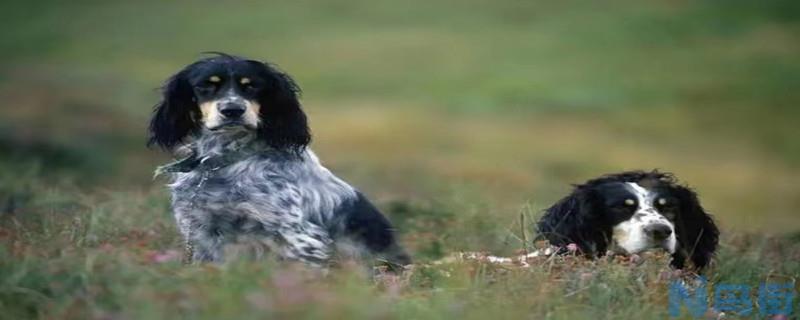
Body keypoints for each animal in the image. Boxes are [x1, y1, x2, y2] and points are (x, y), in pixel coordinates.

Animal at [148, 53, 412, 268]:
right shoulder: (201, 232)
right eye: (206, 86)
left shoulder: (301, 236)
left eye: (252, 86)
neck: (226, 160)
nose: (233, 110)